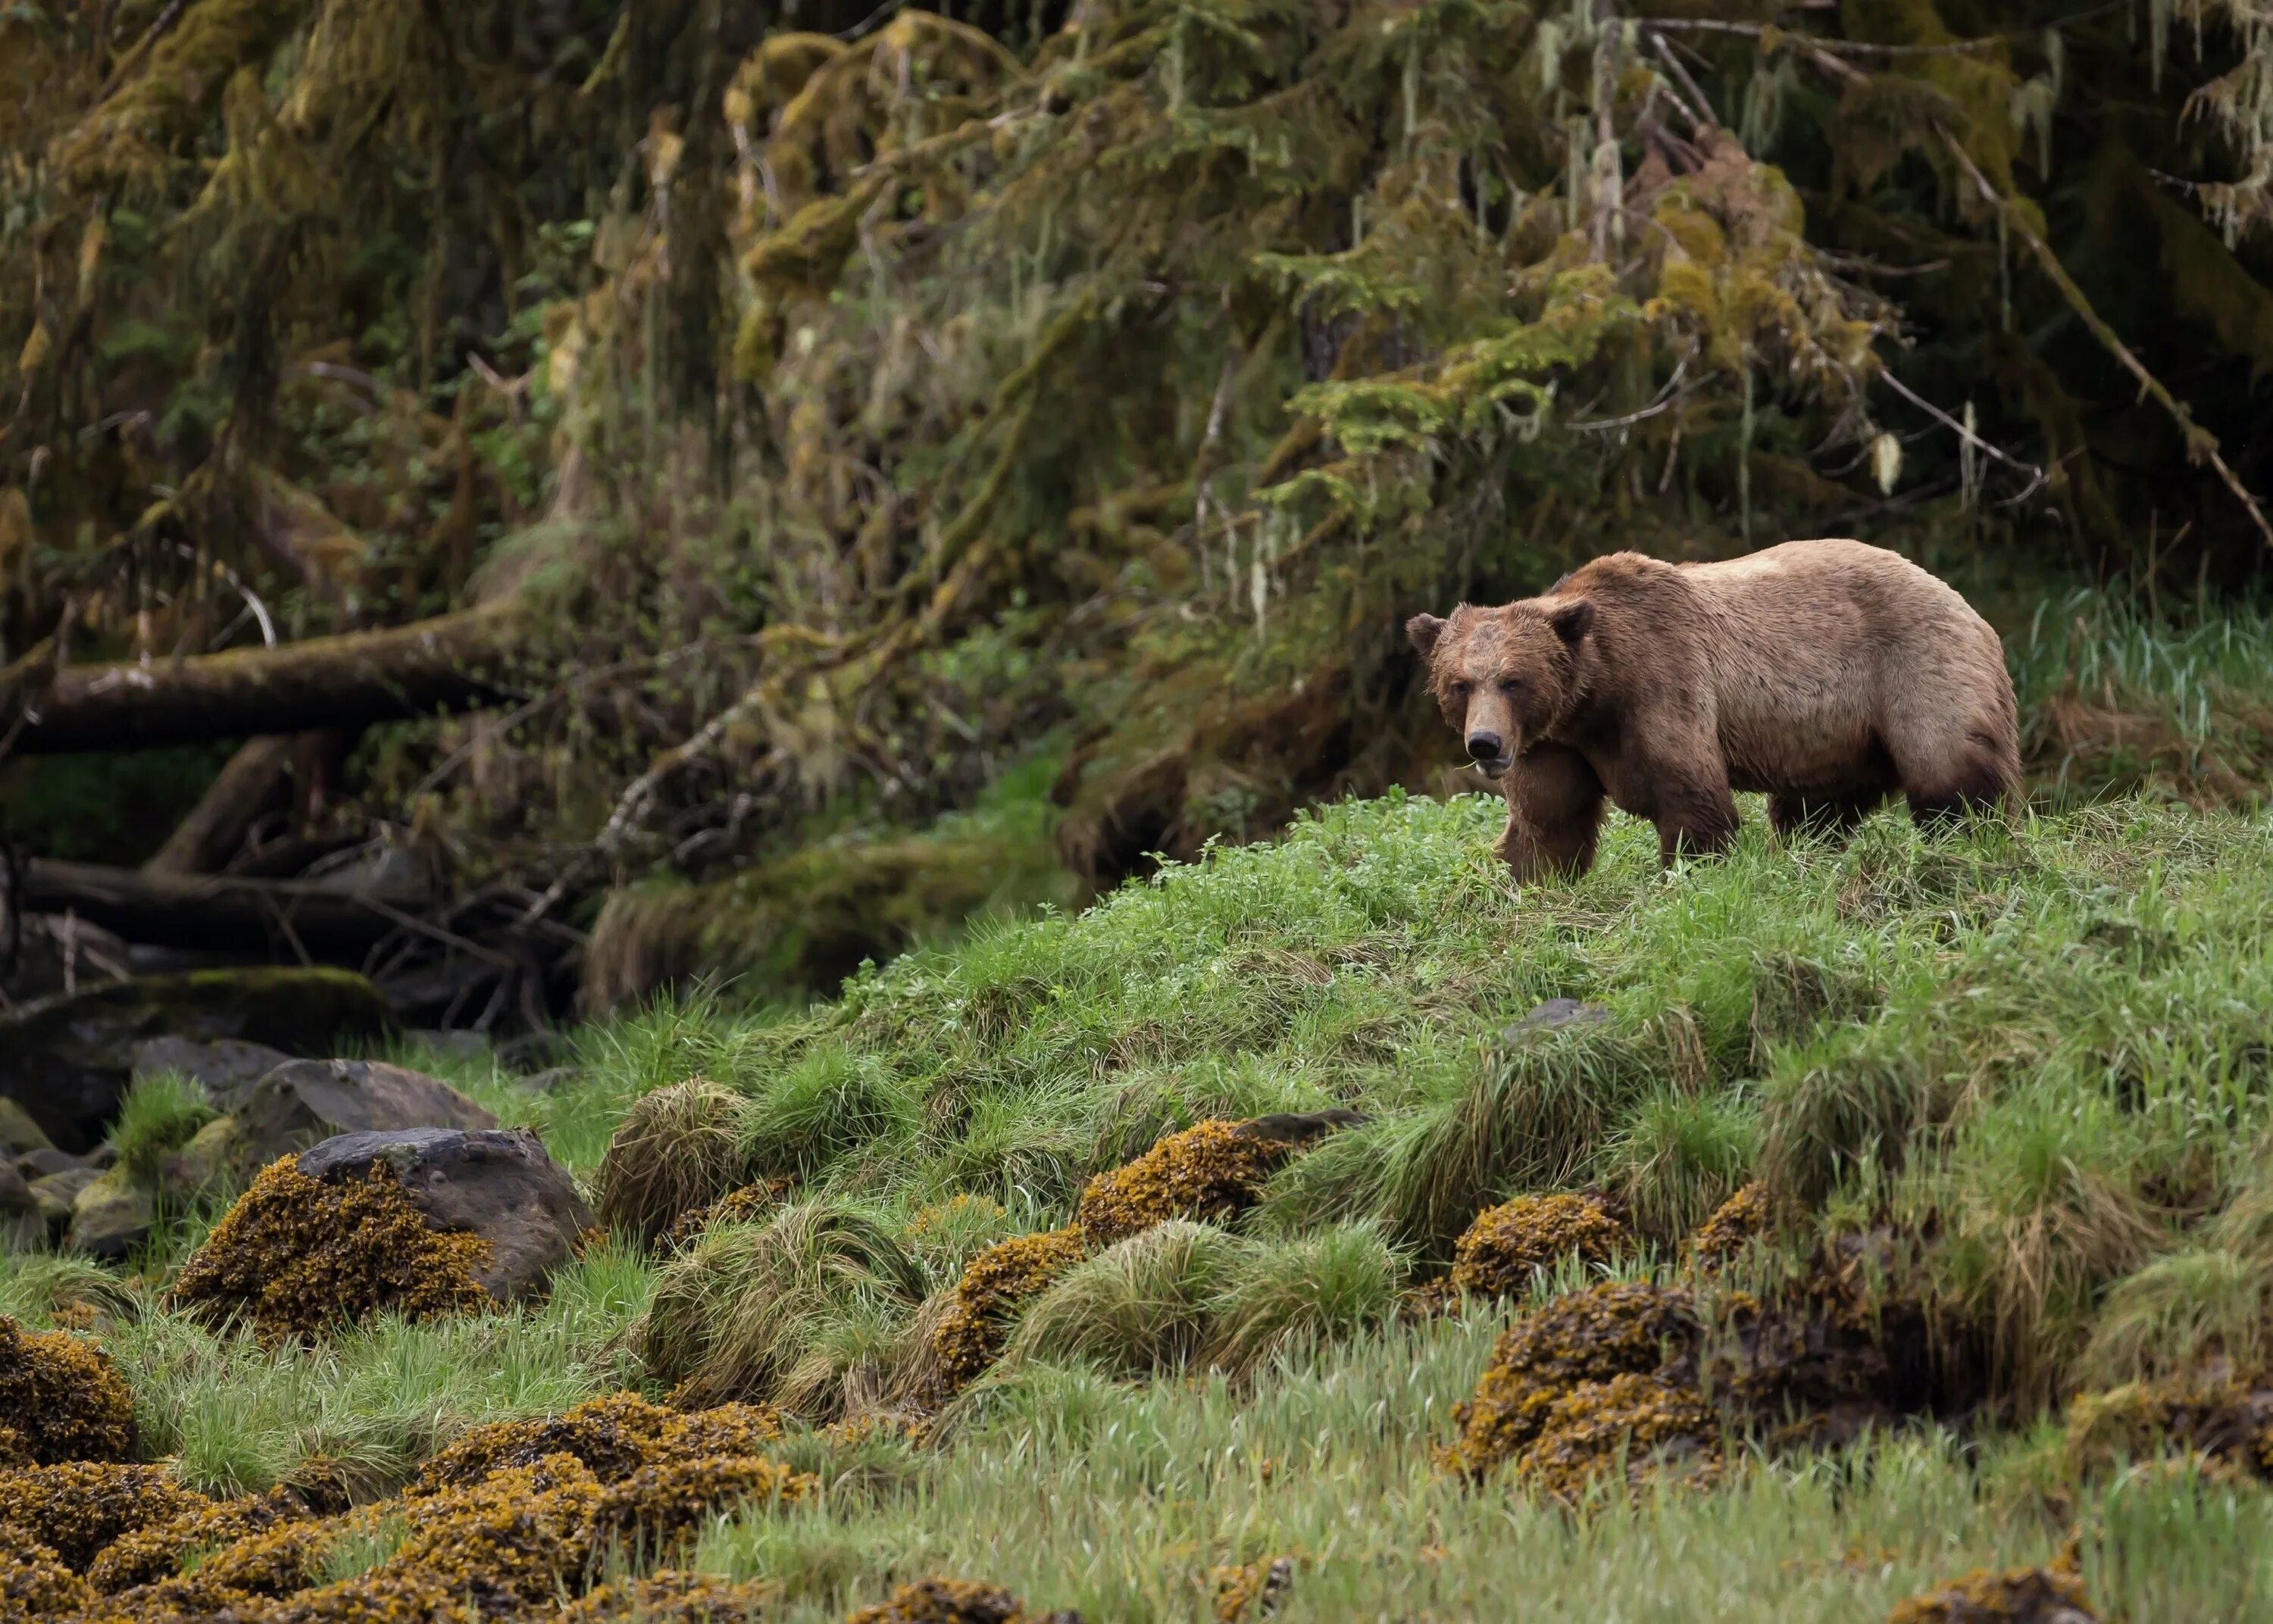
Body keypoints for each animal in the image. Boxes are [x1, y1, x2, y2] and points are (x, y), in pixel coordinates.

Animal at [1400, 542, 2028, 876]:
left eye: (1513, 680)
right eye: (1460, 684)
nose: (1485, 744)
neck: (1596, 695)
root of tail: (1963, 601)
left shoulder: (1662, 686)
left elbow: (1692, 801)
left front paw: (1686, 871)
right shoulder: (1556, 743)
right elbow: (1550, 822)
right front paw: (1531, 877)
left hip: (1917, 668)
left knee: (1949, 771)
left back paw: (1974, 838)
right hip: (1834, 735)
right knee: (1813, 807)